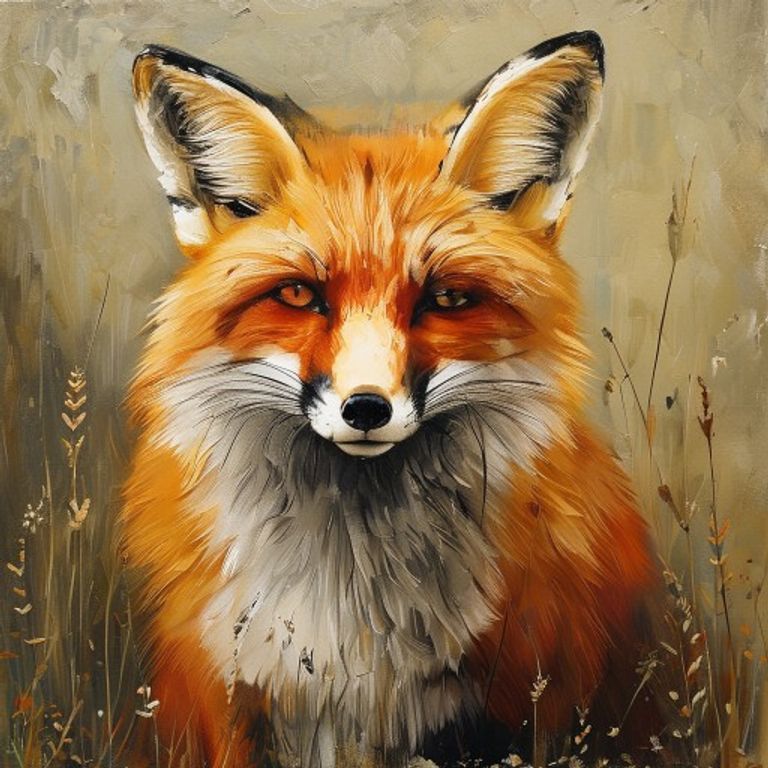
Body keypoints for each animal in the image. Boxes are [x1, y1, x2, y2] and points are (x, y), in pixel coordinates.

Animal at [122, 30, 660, 768]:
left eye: (447, 298)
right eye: (299, 294)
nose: (366, 409)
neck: (352, 591)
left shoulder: (512, 703)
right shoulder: (229, 697)